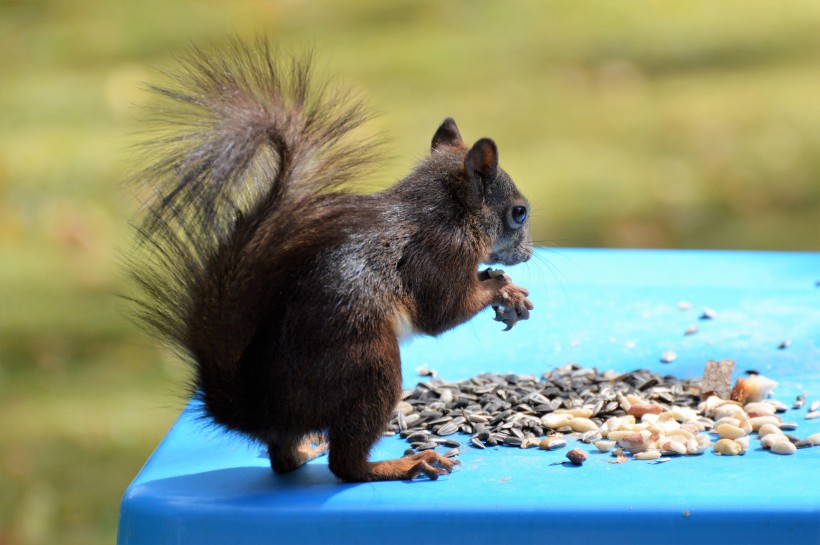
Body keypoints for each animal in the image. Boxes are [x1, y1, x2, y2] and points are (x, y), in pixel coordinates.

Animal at [128, 38, 536, 480]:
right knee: (346, 465)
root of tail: (261, 411)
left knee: (284, 460)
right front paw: (502, 288)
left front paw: (503, 285)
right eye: (518, 212)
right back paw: (403, 463)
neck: (449, 212)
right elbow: (441, 312)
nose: (528, 253)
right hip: (370, 365)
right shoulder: (438, 254)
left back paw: (308, 449)